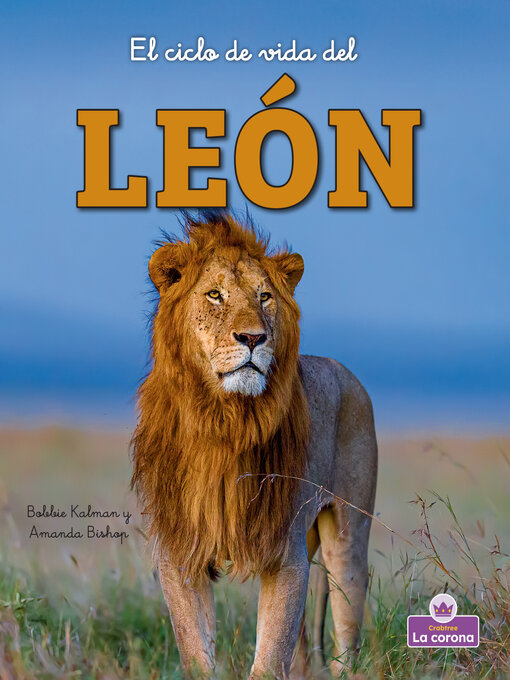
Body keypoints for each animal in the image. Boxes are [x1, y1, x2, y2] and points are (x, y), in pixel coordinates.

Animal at [131, 211, 377, 679]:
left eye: (264, 297)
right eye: (214, 295)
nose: (252, 338)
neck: (224, 421)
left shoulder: (286, 554)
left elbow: (270, 654)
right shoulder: (180, 550)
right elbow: (196, 651)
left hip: (348, 538)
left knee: (347, 631)